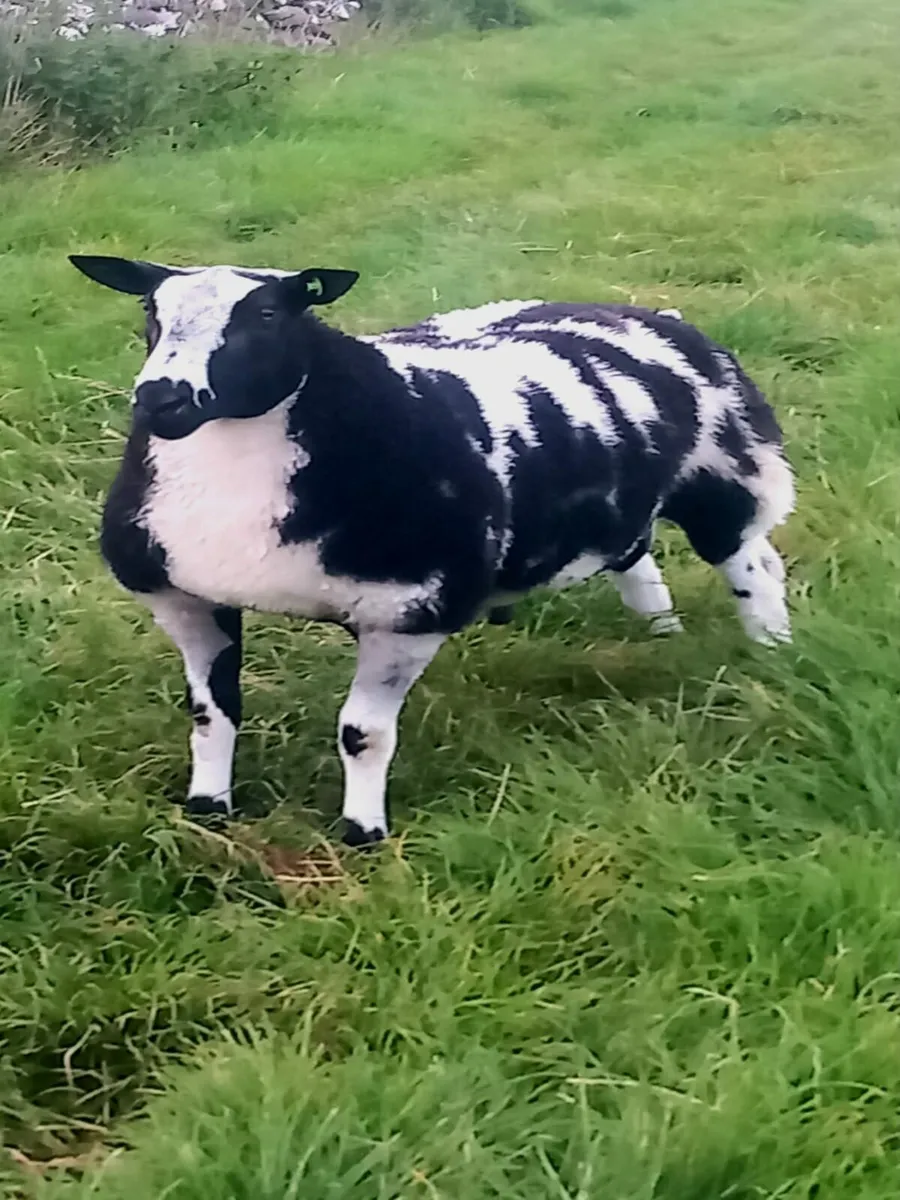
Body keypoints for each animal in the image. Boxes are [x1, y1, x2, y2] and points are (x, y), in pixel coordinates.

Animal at [69, 254, 794, 845]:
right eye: (150, 312)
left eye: (269, 314)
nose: (162, 399)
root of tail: (646, 314)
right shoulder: (185, 596)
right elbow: (210, 713)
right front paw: (208, 808)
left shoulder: (408, 611)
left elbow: (362, 735)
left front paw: (362, 833)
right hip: (615, 501)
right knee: (634, 551)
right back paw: (661, 630)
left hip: (726, 476)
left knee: (753, 565)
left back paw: (772, 650)